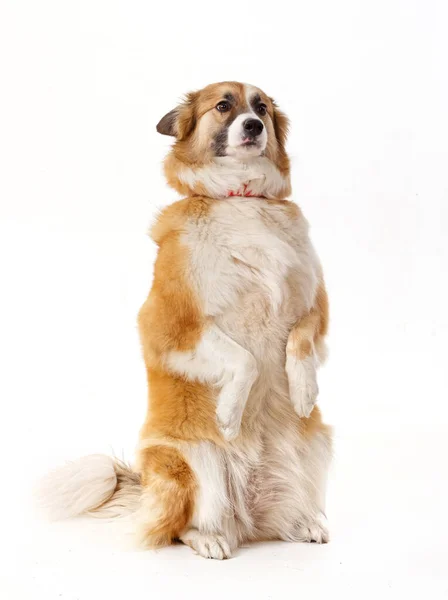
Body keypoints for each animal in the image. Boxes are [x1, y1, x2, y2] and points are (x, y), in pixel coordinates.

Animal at [39, 82, 332, 560]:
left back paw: (301, 523)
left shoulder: (314, 303)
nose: (253, 125)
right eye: (224, 105)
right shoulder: (173, 326)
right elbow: (246, 359)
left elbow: (301, 340)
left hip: (315, 446)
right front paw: (229, 413)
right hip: (191, 463)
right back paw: (209, 537)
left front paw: (304, 389)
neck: (241, 201)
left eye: (262, 108)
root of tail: (246, 520)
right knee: (180, 527)